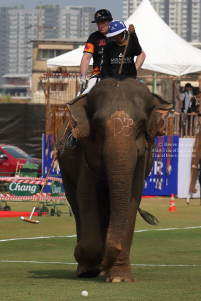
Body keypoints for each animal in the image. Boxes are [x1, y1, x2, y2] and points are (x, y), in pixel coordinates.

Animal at [57, 77, 172, 282]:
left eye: (142, 124)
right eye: (97, 124)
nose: (104, 263)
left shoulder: (142, 157)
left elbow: (132, 198)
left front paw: (119, 278)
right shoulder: (84, 153)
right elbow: (86, 195)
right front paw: (87, 262)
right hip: (64, 165)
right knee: (75, 203)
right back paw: (87, 268)